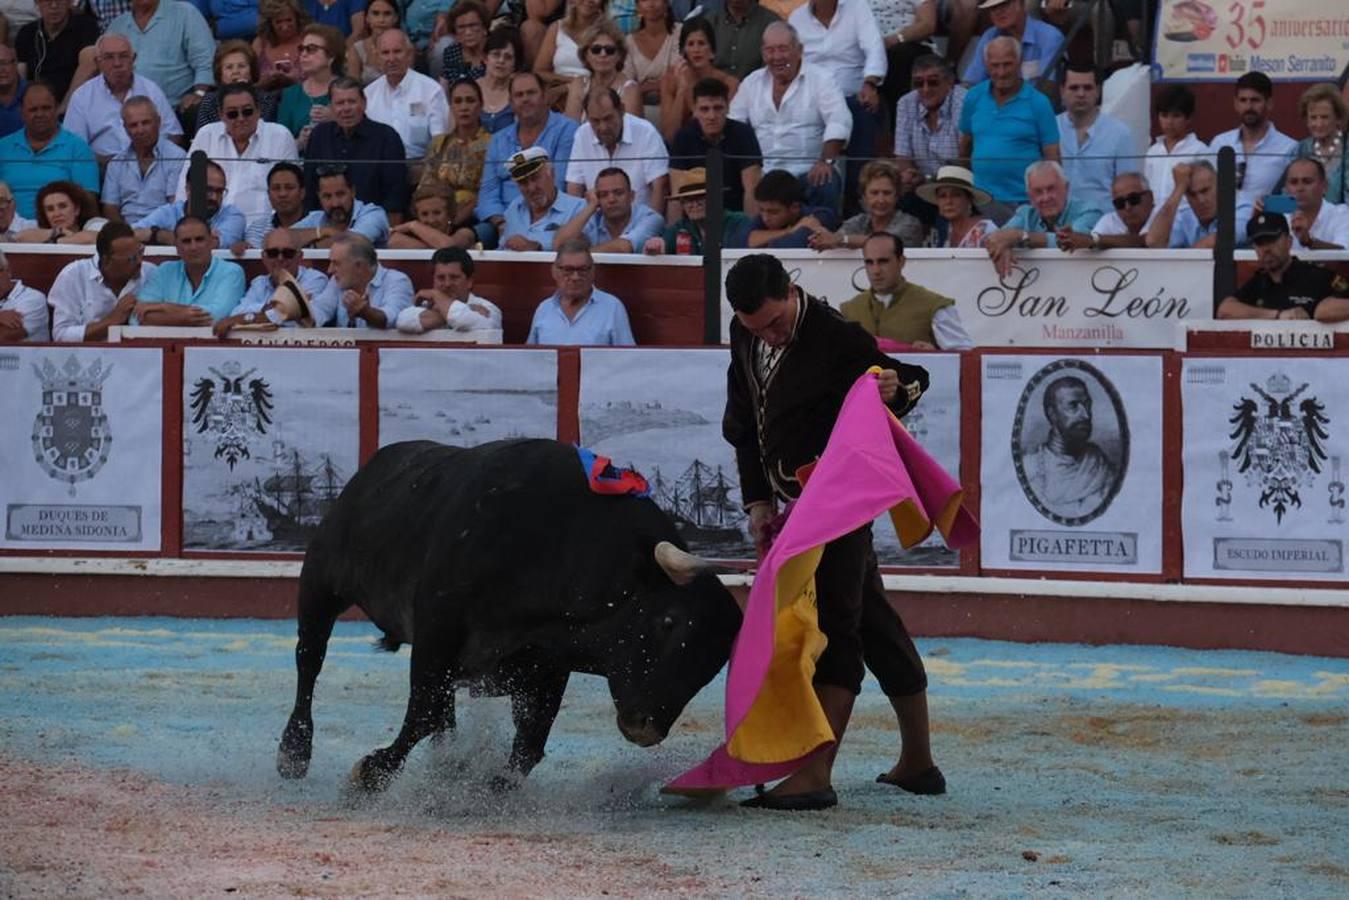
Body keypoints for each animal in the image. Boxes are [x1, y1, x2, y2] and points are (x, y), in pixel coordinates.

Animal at [272, 439, 739, 793]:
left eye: (714, 665)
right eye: (667, 622)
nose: (646, 727)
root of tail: (375, 466)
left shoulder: (547, 664)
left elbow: (530, 740)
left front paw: (492, 788)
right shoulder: (438, 627)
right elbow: (422, 710)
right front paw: (370, 774)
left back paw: (446, 762)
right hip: (320, 582)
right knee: (309, 659)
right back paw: (293, 751)